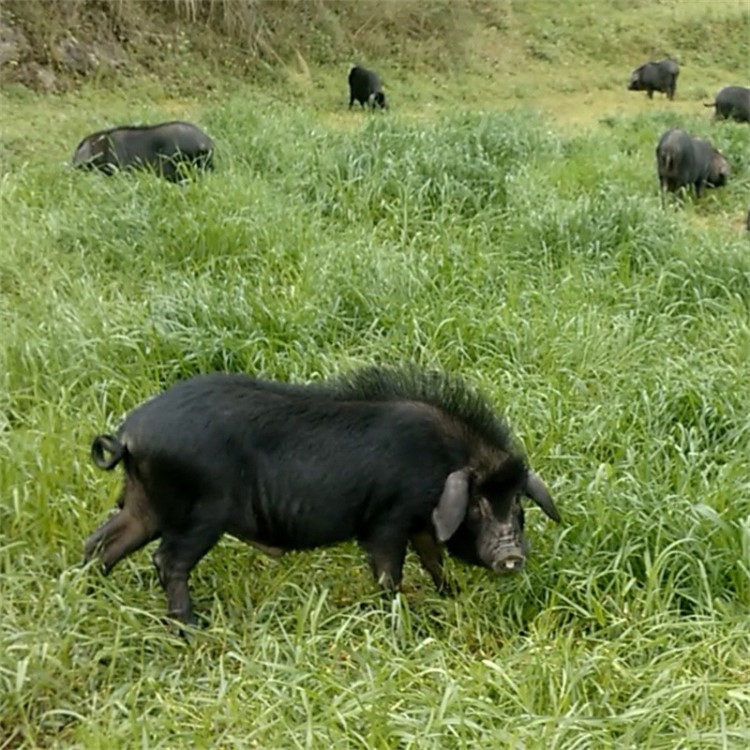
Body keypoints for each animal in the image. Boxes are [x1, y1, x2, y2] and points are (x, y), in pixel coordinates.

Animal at [85, 368, 560, 624]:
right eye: (478, 505)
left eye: (518, 506)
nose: (512, 554)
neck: (442, 460)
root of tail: (129, 434)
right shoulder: (386, 520)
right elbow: (390, 571)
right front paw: (400, 616)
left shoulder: (420, 521)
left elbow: (433, 559)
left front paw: (452, 596)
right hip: (199, 513)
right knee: (167, 561)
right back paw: (192, 628)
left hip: (144, 502)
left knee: (100, 542)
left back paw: (88, 592)